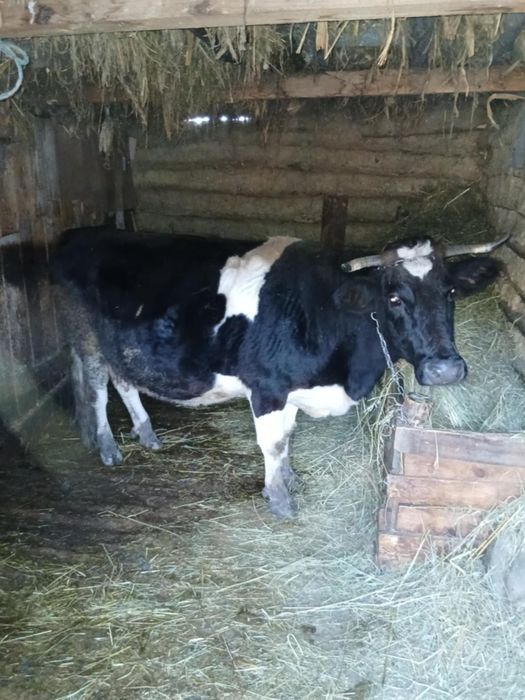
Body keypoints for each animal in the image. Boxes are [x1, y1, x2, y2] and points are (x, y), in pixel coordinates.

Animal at [51, 227, 505, 517]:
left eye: (450, 292)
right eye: (393, 297)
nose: (445, 369)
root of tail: (81, 232)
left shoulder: (293, 389)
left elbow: (289, 438)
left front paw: (290, 480)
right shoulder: (267, 386)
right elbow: (273, 443)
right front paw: (280, 499)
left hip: (120, 345)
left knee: (124, 380)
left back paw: (146, 434)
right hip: (86, 337)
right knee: (96, 389)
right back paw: (108, 448)